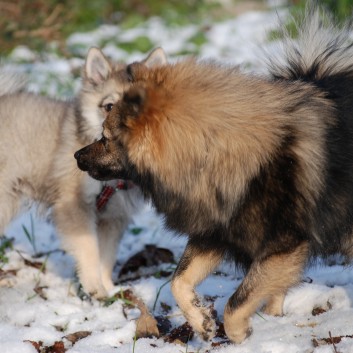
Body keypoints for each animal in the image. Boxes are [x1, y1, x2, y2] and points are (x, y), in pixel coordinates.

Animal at [75, 8, 353, 342]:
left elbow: (236, 303)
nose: (77, 156)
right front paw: (202, 322)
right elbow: (179, 280)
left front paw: (240, 334)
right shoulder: (215, 229)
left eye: (105, 137)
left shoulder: (282, 244)